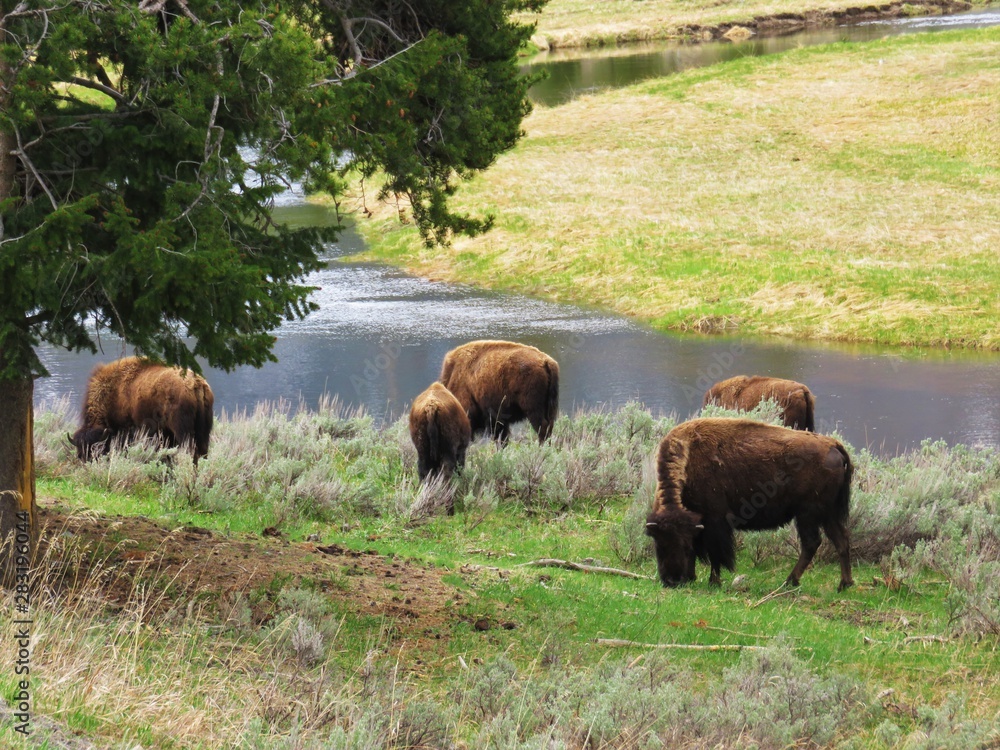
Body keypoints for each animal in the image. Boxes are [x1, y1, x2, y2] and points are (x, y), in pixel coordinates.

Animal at [69, 357, 214, 462]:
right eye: (79, 448)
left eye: (95, 447)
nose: (85, 461)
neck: (113, 390)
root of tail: (196, 383)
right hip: (203, 430)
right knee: (202, 451)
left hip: (182, 431)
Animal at [644, 418, 853, 591]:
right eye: (659, 544)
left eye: (681, 545)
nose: (672, 581)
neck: (688, 458)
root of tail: (832, 445)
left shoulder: (714, 522)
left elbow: (716, 553)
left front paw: (714, 582)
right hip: (826, 514)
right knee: (840, 540)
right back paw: (844, 584)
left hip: (807, 514)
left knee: (812, 543)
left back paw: (789, 582)